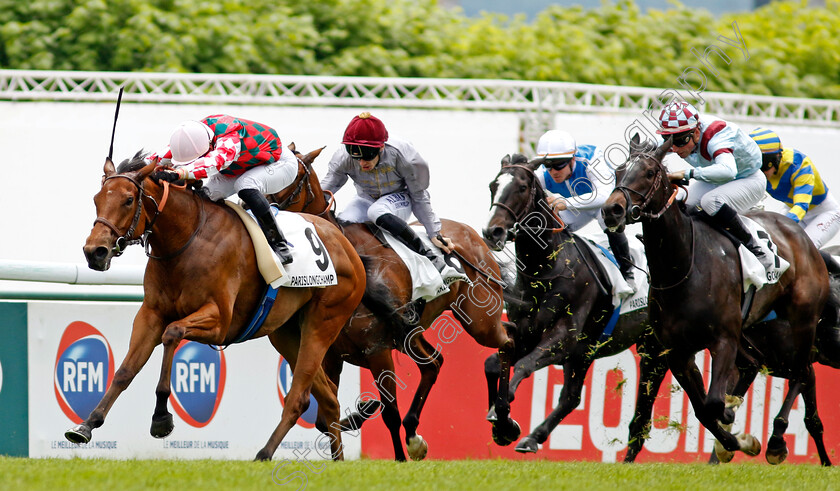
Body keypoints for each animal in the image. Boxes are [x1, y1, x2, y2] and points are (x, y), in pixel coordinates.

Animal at [64, 153, 366, 462]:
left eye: (127, 200)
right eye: (97, 198)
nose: (94, 252)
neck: (186, 238)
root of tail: (344, 242)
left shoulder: (220, 322)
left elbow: (172, 334)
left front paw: (161, 418)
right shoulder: (150, 315)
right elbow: (125, 370)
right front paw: (87, 424)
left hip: (323, 323)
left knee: (300, 397)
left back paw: (265, 453)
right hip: (286, 333)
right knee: (328, 399)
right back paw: (337, 462)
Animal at [270, 146, 520, 462]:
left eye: (286, 178)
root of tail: (474, 236)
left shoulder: (377, 349)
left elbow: (389, 413)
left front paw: (398, 456)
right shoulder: (330, 354)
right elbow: (324, 418)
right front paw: (362, 414)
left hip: (479, 320)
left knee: (507, 339)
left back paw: (503, 421)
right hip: (411, 333)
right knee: (435, 362)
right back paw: (419, 432)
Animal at [480, 153, 668, 462]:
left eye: (521, 187)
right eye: (493, 186)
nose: (492, 231)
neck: (547, 268)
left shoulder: (563, 339)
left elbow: (523, 365)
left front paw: (502, 414)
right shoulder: (526, 334)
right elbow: (493, 365)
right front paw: (504, 425)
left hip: (654, 348)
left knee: (642, 412)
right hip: (585, 352)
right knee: (571, 397)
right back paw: (533, 438)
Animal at [600, 135, 832, 466]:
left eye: (649, 172)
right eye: (619, 171)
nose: (612, 210)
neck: (684, 266)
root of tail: (804, 238)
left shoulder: (722, 339)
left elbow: (711, 404)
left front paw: (738, 434)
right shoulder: (676, 351)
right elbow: (703, 409)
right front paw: (736, 439)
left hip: (801, 322)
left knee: (801, 371)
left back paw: (778, 441)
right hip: (749, 331)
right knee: (757, 364)